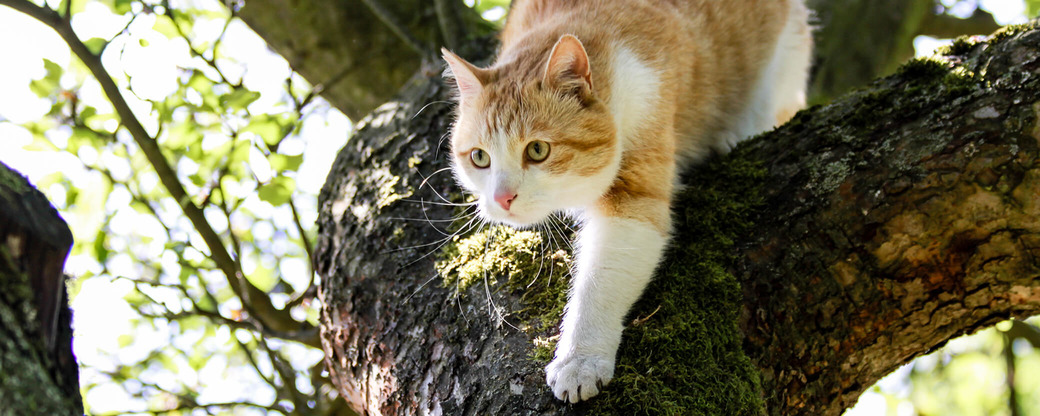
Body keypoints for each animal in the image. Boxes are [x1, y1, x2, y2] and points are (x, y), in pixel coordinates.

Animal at [438, 0, 811, 403]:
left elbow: (599, 282)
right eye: (479, 158)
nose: (502, 198)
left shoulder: (634, 194)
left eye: (537, 150)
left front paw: (580, 360)